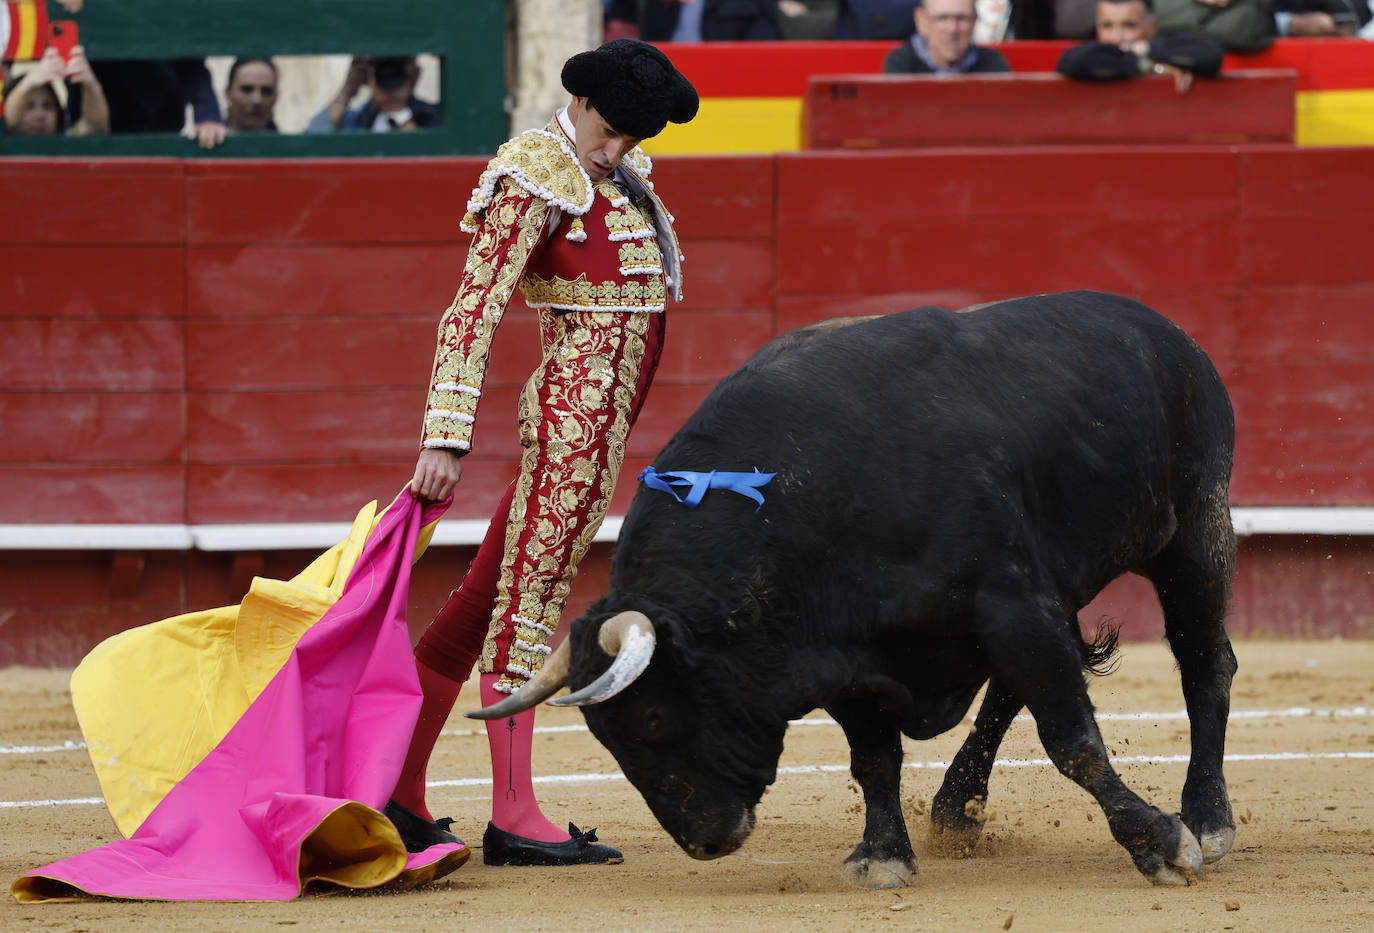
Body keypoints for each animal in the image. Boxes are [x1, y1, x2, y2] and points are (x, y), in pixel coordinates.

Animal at [475, 291, 1247, 890]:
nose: (705, 840)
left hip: (1194, 531)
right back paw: (956, 808)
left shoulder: (1008, 605)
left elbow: (1073, 739)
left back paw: (1208, 819)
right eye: (605, 739)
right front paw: (882, 856)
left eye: (656, 718)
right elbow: (875, 757)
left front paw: (1161, 844)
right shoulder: (843, 652)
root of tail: (1168, 333)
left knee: (1206, 662)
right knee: (1015, 689)